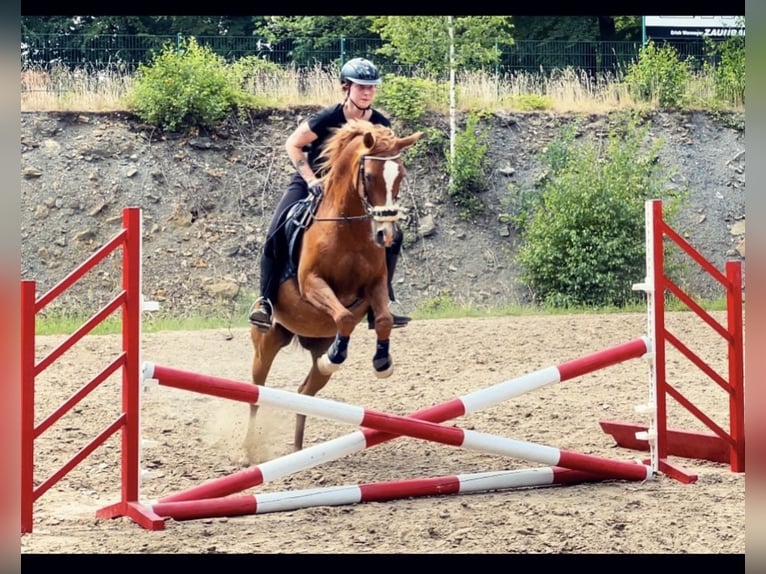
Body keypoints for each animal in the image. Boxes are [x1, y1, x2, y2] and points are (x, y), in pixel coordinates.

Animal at [244, 121, 426, 464]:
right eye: (369, 176)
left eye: (401, 174)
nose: (387, 235)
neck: (349, 227)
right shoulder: (312, 284)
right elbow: (342, 315)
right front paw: (338, 356)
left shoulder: (374, 286)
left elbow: (381, 319)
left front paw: (382, 362)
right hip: (267, 342)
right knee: (256, 391)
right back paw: (248, 453)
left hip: (316, 346)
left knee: (305, 393)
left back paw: (299, 450)